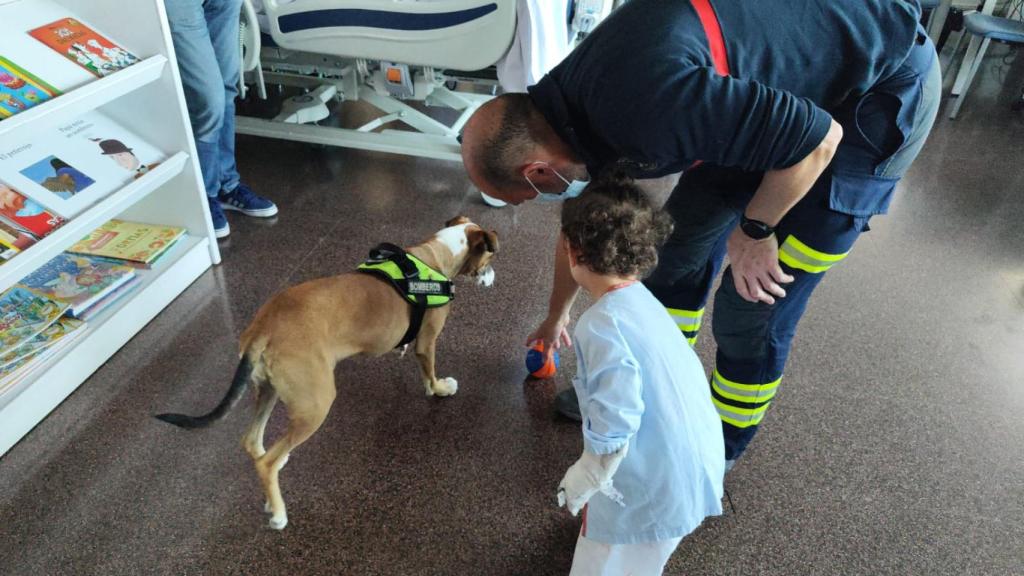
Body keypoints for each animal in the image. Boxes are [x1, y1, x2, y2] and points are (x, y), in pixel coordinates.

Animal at [154, 216, 499, 528]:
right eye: (491, 257)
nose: (494, 277)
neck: (436, 254)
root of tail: (265, 326)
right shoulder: (427, 342)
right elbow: (430, 374)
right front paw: (440, 389)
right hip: (316, 404)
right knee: (265, 462)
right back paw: (278, 512)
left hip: (269, 390)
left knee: (253, 442)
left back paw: (273, 473)